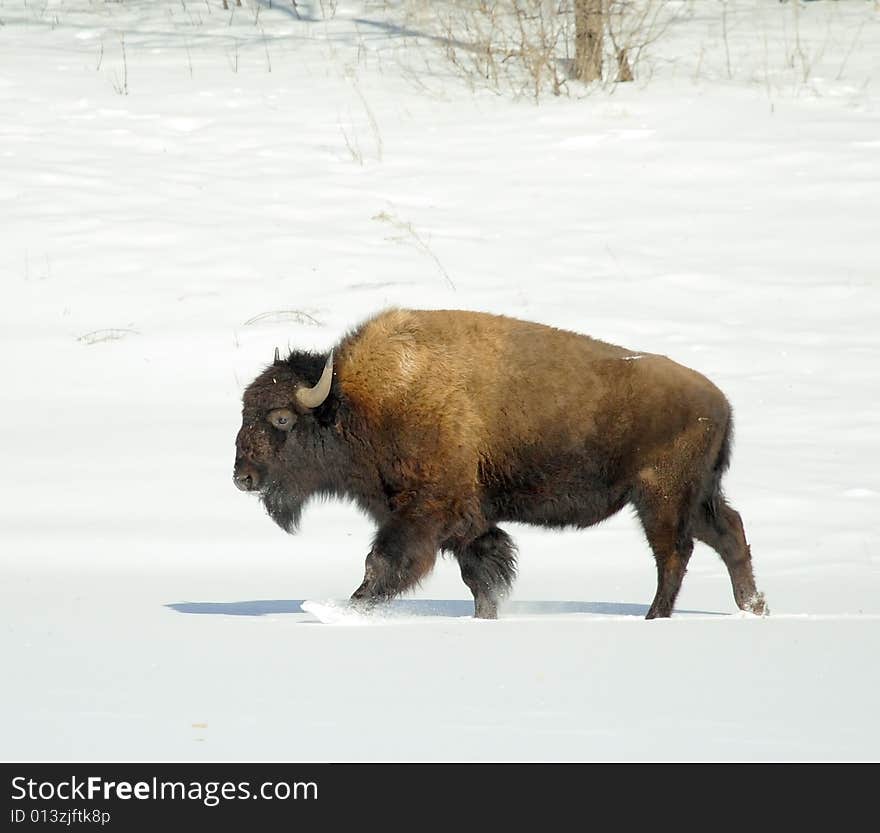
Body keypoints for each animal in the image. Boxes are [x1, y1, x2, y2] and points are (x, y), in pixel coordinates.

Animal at [232, 308, 764, 616]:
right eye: (244, 412)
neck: (354, 401)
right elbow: (481, 571)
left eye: (281, 418)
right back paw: (753, 608)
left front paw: (344, 608)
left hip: (660, 497)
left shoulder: (426, 511)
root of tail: (720, 401)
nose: (243, 477)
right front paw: (485, 617)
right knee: (729, 533)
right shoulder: (468, 520)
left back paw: (656, 617)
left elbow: (384, 562)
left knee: (674, 553)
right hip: (695, 497)